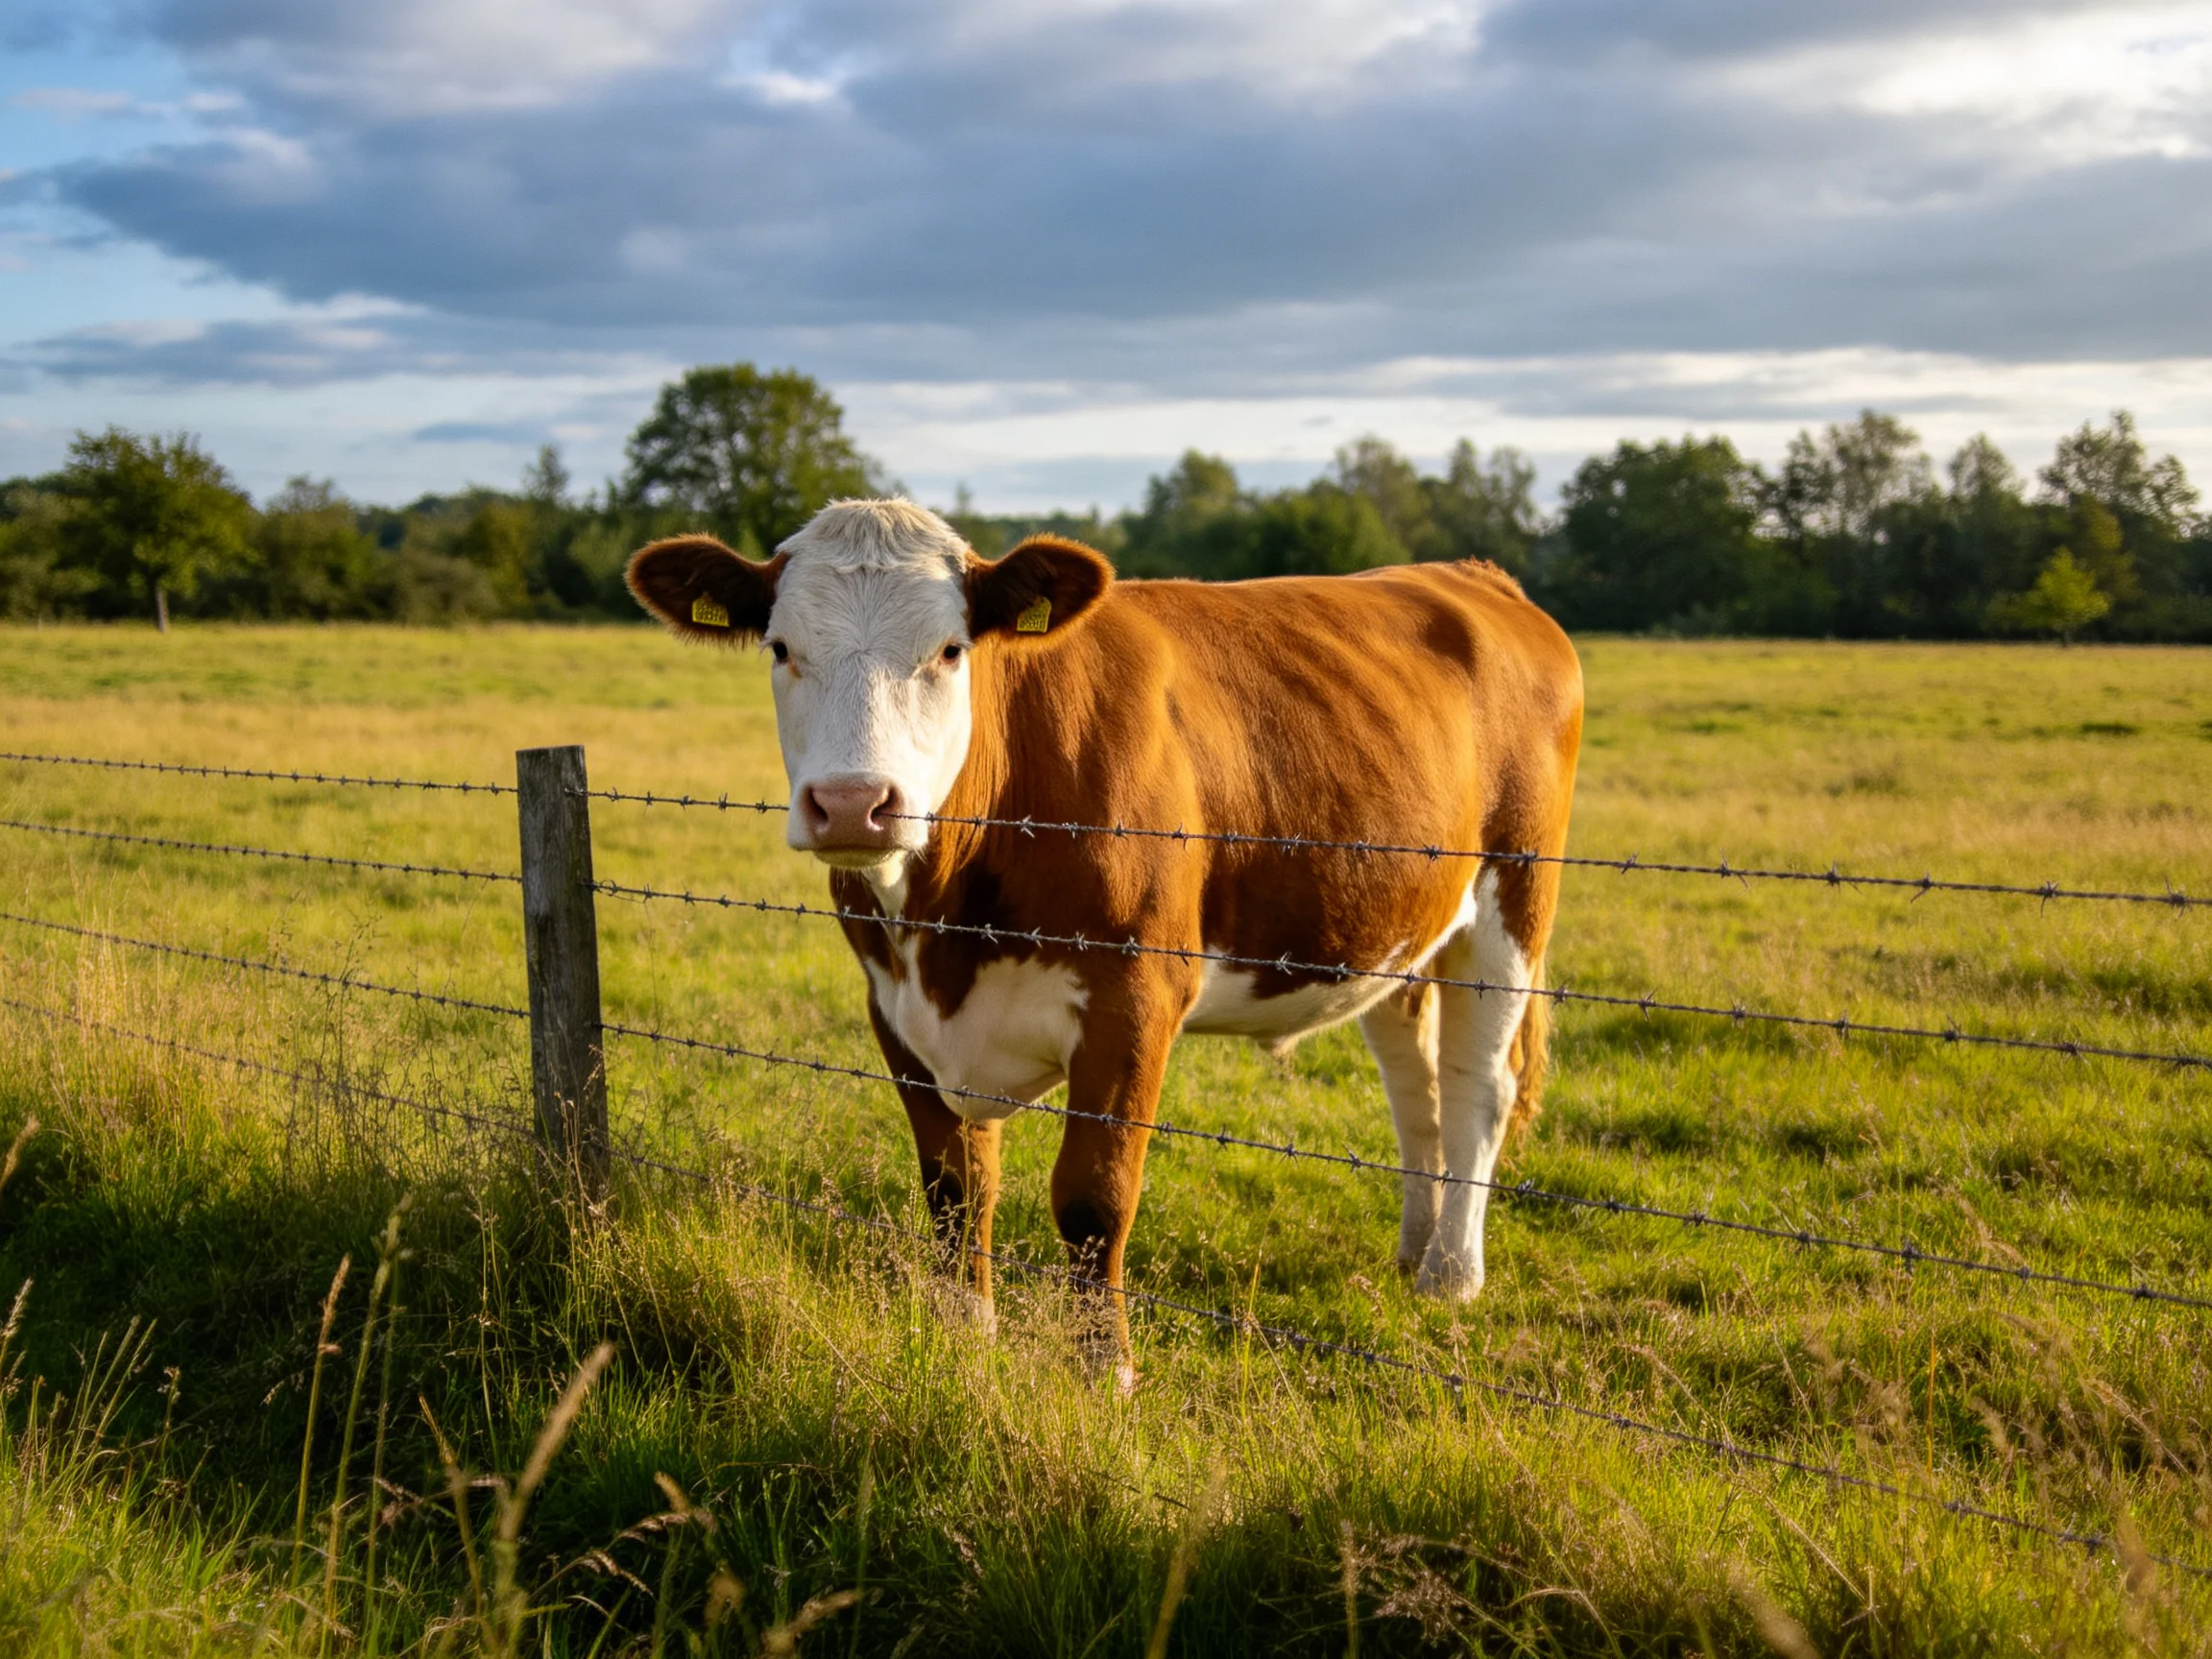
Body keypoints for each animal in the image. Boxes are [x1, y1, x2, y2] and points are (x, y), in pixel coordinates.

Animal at [627, 499, 1582, 1384]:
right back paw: (1416, 1249)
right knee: (1414, 1083)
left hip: (1514, 901)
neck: (946, 926)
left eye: (950, 651)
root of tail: (1472, 576)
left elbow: (1093, 1197)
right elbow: (956, 1189)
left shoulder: (1134, 998)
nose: (856, 804)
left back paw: (1452, 1274)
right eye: (781, 648)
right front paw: (963, 1341)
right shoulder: (892, 1003)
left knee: (1478, 1085)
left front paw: (1104, 1373)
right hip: (1396, 926)